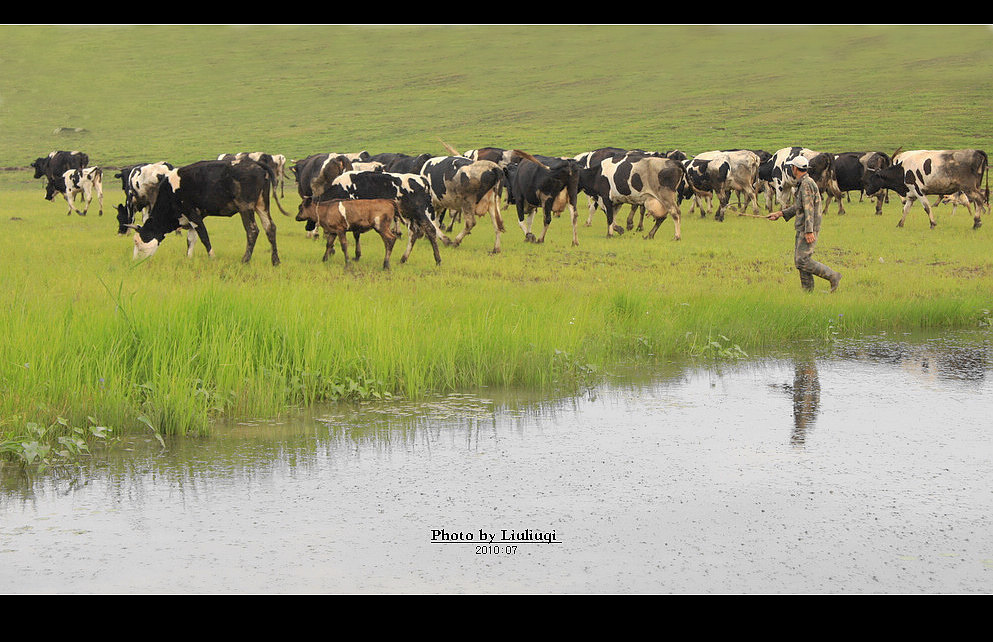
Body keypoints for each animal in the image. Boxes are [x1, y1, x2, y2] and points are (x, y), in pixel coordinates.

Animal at [132, 159, 286, 264]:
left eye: (138, 243)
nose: (135, 262)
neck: (170, 191)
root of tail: (256, 164)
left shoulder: (192, 213)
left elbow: (203, 236)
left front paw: (212, 257)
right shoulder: (194, 217)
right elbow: (191, 239)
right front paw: (188, 258)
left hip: (246, 207)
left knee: (253, 231)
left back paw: (245, 260)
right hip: (262, 205)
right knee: (270, 228)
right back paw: (275, 261)